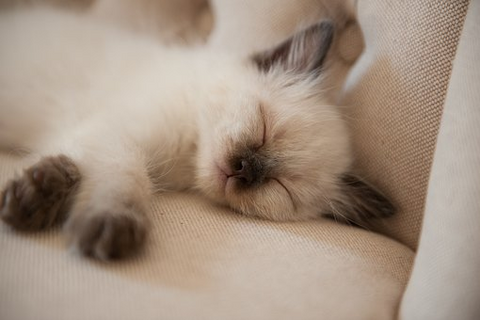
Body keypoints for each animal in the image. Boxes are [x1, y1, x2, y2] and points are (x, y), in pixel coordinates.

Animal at [0, 6, 394, 260]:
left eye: (281, 185)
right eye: (263, 127)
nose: (244, 169)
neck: (186, 155)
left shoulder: (93, 138)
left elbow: (97, 176)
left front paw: (37, 199)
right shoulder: (113, 135)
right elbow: (127, 177)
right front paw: (107, 223)